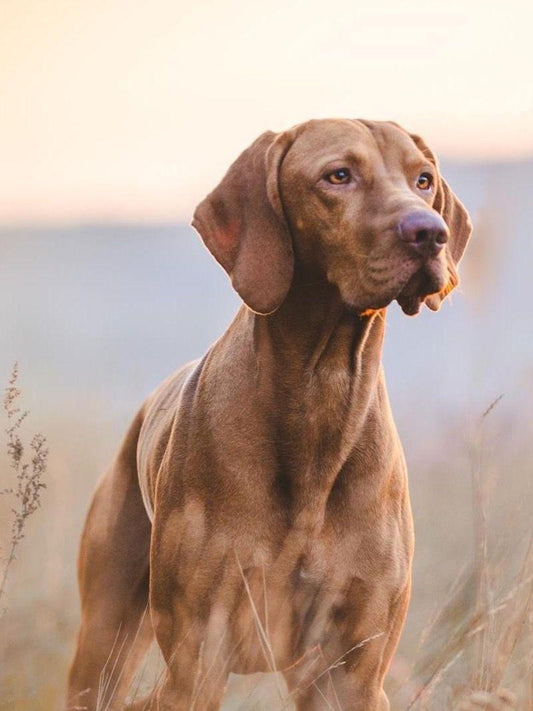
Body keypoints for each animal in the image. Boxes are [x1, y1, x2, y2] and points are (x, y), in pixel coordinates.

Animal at [65, 118, 470, 711]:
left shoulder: (353, 670)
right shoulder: (198, 656)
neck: (322, 393)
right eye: (338, 176)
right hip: (105, 638)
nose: (430, 232)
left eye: (424, 179)